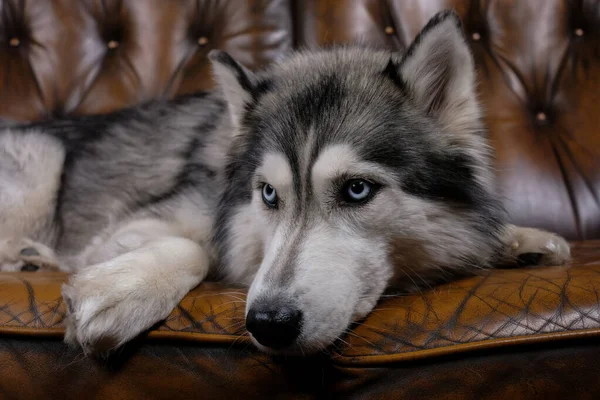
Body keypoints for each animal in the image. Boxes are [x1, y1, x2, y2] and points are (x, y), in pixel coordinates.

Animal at [0, 11, 568, 356]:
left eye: (357, 190)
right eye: (269, 195)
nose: (268, 324)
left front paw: (521, 241)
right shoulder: (137, 225)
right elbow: (196, 248)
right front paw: (119, 291)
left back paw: (34, 260)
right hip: (42, 161)